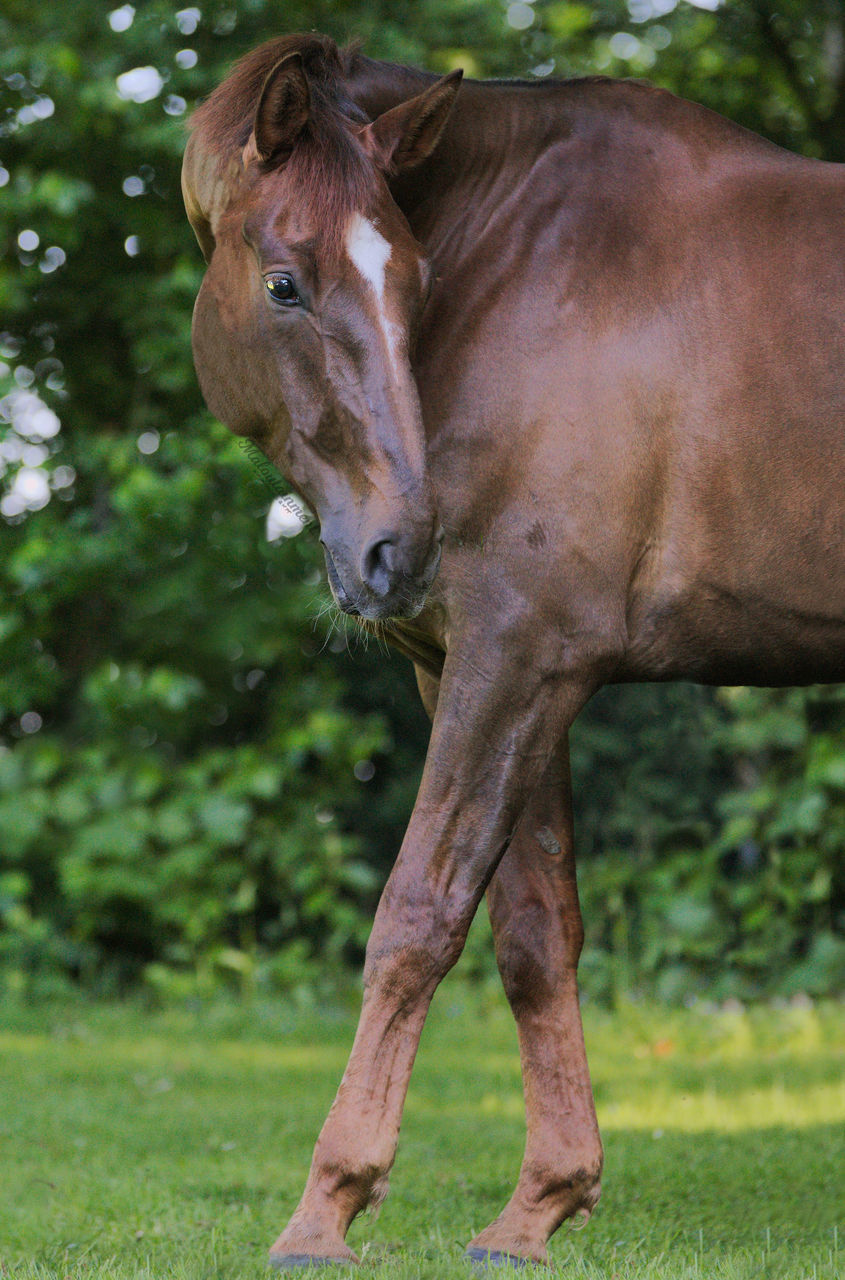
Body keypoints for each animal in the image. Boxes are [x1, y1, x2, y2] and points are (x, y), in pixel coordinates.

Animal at [181, 30, 839, 1269]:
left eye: (414, 282)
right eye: (286, 283)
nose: (395, 545)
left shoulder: (518, 654)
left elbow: (416, 918)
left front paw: (325, 1205)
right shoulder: (495, 665)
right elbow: (534, 934)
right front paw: (540, 1203)